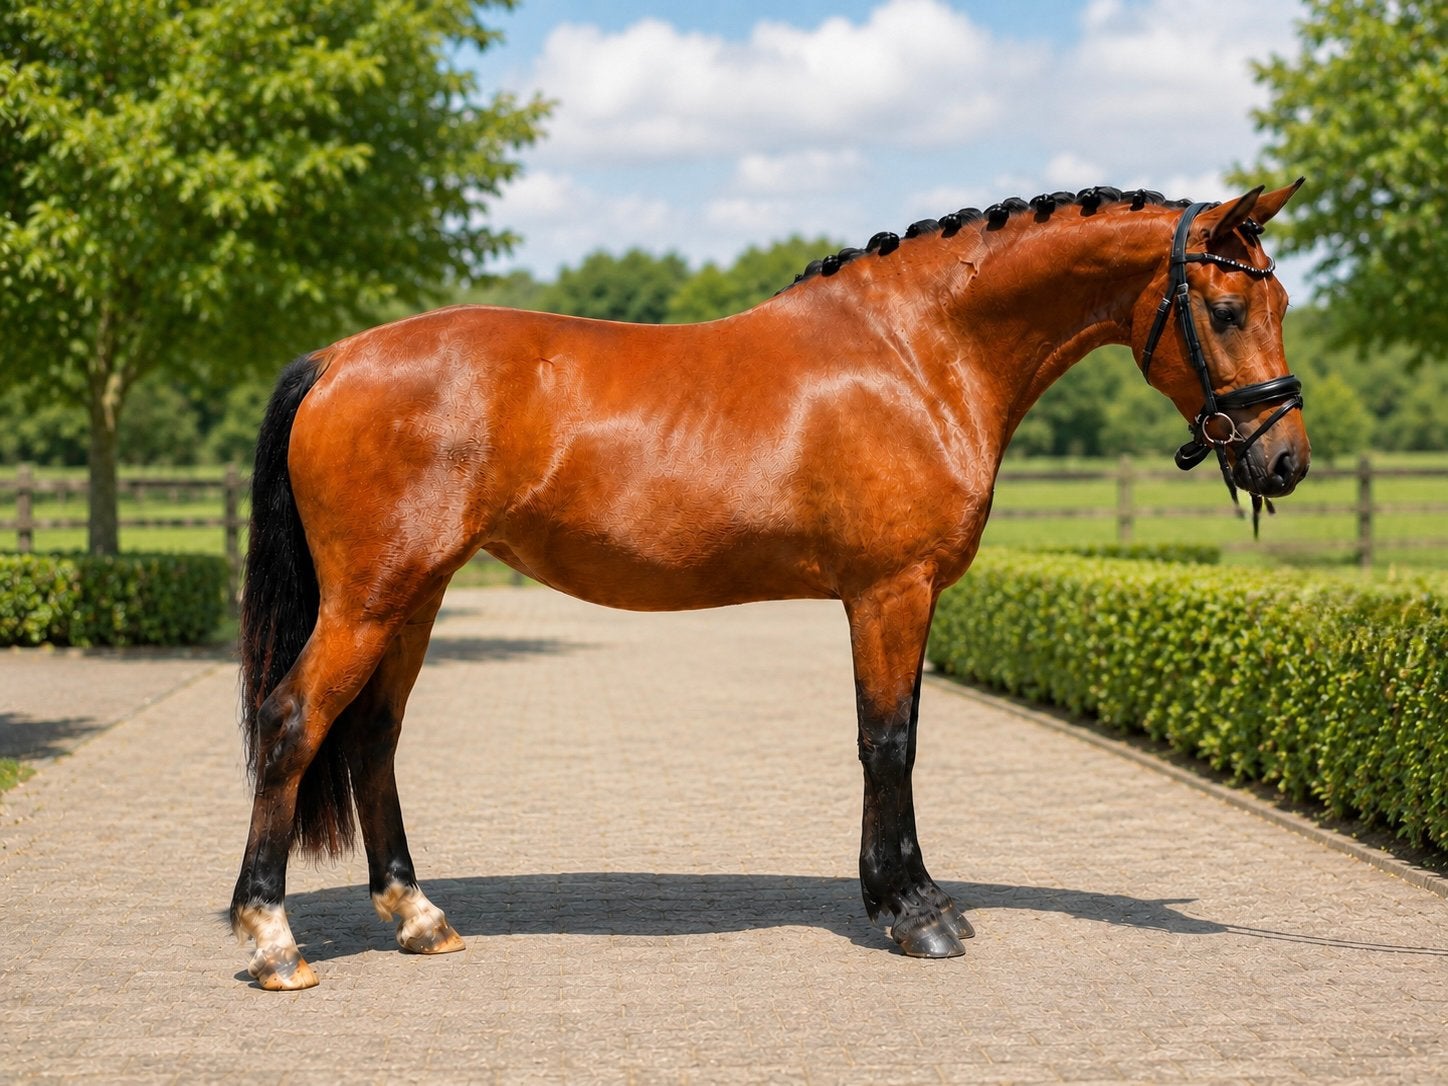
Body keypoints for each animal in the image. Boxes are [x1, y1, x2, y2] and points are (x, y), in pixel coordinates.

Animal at [230, 181, 1311, 989]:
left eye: (1283, 305)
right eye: (1225, 310)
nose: (1285, 461)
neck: (915, 351)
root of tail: (338, 357)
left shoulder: (909, 598)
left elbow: (902, 741)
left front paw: (920, 897)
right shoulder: (888, 592)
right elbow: (887, 745)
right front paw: (912, 916)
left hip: (413, 599)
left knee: (371, 738)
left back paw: (417, 916)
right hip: (369, 600)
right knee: (292, 723)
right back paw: (274, 941)